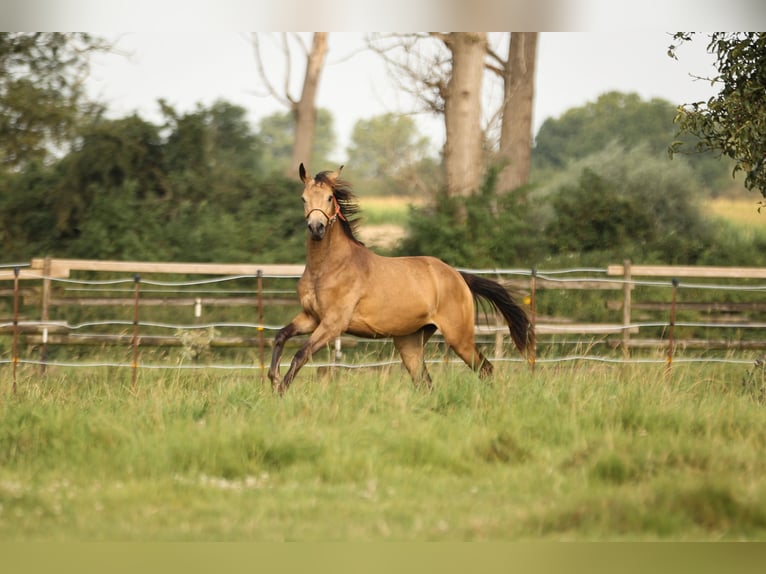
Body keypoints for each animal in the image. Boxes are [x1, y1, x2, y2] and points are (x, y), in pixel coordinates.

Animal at [270, 164, 536, 394]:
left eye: (328, 198)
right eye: (303, 198)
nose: (317, 228)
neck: (326, 269)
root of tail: (458, 276)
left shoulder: (332, 324)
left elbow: (301, 355)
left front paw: (280, 393)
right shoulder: (311, 318)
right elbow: (280, 336)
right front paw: (272, 380)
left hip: (459, 337)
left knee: (485, 369)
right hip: (410, 342)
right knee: (425, 382)